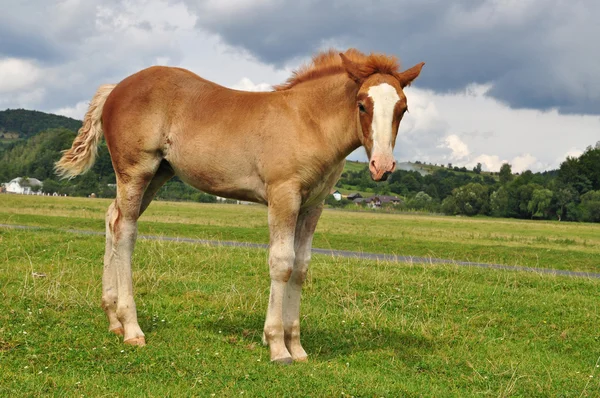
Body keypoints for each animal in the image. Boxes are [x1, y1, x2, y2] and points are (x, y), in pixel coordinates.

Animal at [55, 49, 422, 364]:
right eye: (362, 105)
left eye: (402, 109)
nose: (382, 166)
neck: (307, 121)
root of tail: (116, 88)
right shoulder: (283, 194)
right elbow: (282, 262)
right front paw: (277, 346)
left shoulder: (313, 205)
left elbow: (301, 267)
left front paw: (297, 347)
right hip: (135, 171)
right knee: (126, 231)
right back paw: (132, 327)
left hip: (158, 174)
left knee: (112, 219)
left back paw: (113, 319)